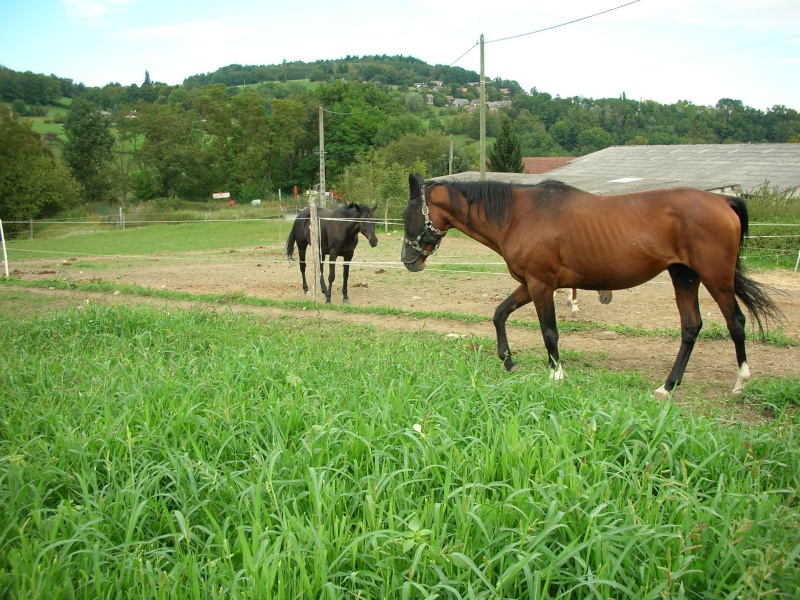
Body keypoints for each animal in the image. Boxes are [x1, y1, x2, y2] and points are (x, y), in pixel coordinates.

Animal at [400, 175, 780, 398]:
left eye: (409, 215)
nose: (407, 260)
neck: (519, 214)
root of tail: (722, 201)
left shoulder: (541, 285)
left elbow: (549, 332)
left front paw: (556, 374)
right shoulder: (530, 284)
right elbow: (499, 314)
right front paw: (509, 362)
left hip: (716, 278)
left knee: (736, 323)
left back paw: (740, 381)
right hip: (683, 276)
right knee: (691, 327)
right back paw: (667, 386)